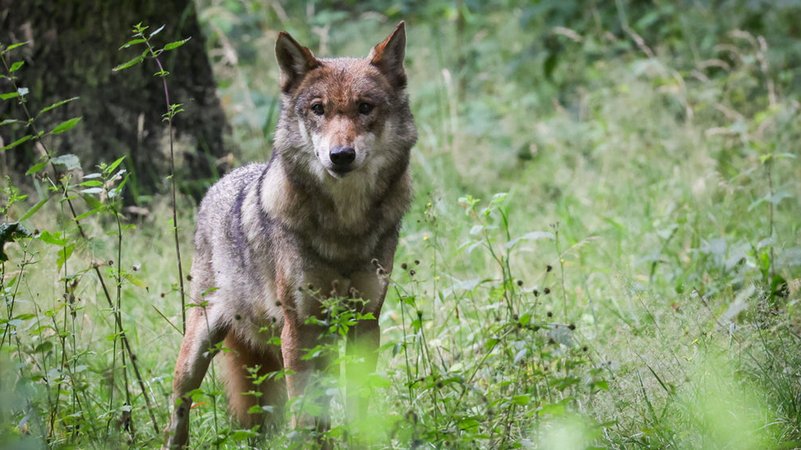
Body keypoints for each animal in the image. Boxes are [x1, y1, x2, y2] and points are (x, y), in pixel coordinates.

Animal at [163, 22, 416, 448]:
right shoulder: (300, 328)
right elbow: (305, 412)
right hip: (199, 348)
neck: (344, 228)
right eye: (318, 109)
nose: (340, 155)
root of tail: (220, 184)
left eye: (365, 107)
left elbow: (357, 405)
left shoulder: (365, 322)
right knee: (179, 411)